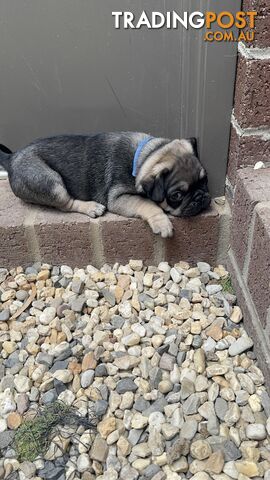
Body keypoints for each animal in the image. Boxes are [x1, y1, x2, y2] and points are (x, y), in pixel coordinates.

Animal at [0, 132, 211, 237]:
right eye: (177, 196)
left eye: (205, 180)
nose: (201, 197)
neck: (147, 155)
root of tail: (11, 158)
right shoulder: (119, 197)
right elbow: (148, 203)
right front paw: (162, 222)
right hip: (51, 184)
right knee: (66, 203)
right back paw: (91, 207)